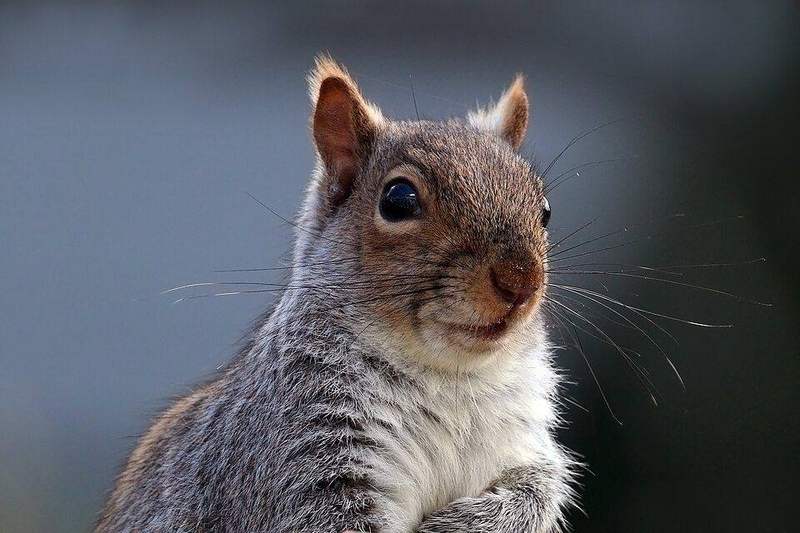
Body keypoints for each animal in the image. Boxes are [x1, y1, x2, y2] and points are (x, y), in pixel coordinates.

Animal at [96, 56, 576, 533]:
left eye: (545, 211)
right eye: (398, 200)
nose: (521, 281)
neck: (450, 377)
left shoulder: (523, 447)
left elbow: (536, 490)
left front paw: (460, 522)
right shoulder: (296, 452)